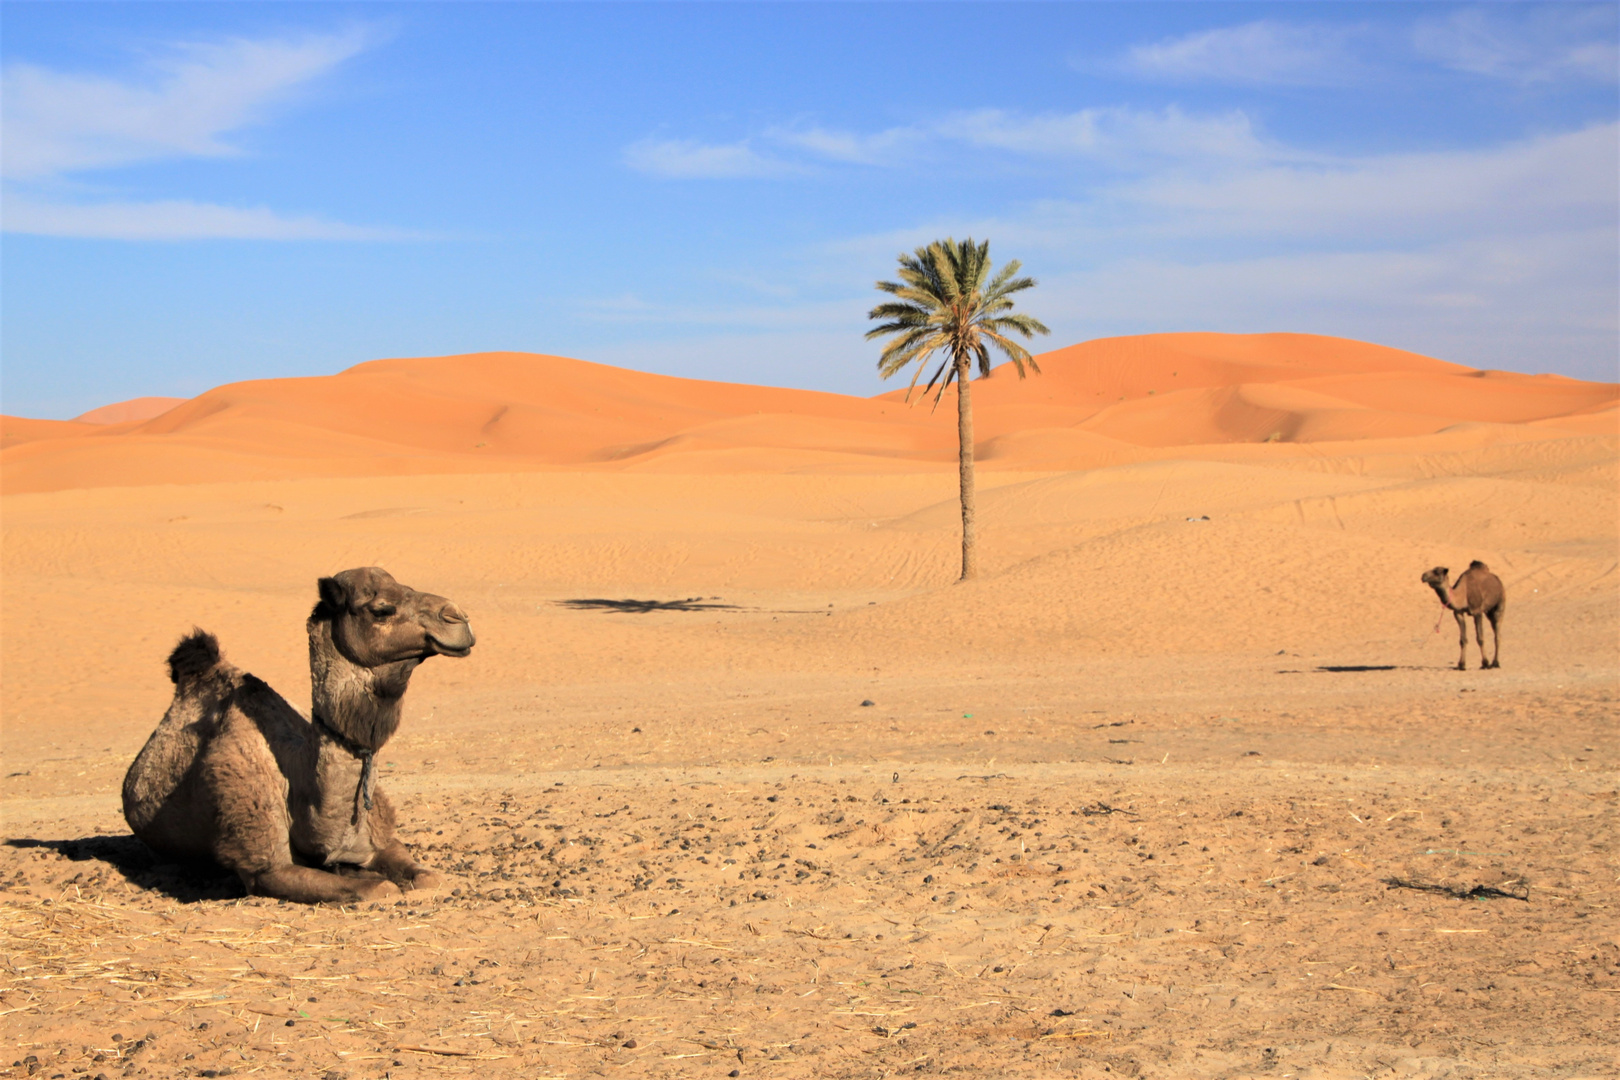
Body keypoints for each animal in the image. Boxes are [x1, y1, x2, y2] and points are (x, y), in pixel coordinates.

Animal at [119, 566, 473, 906]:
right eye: (381, 609)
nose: (458, 617)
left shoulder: (379, 838)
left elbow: (428, 877)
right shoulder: (265, 866)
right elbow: (378, 888)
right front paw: (358, 877)